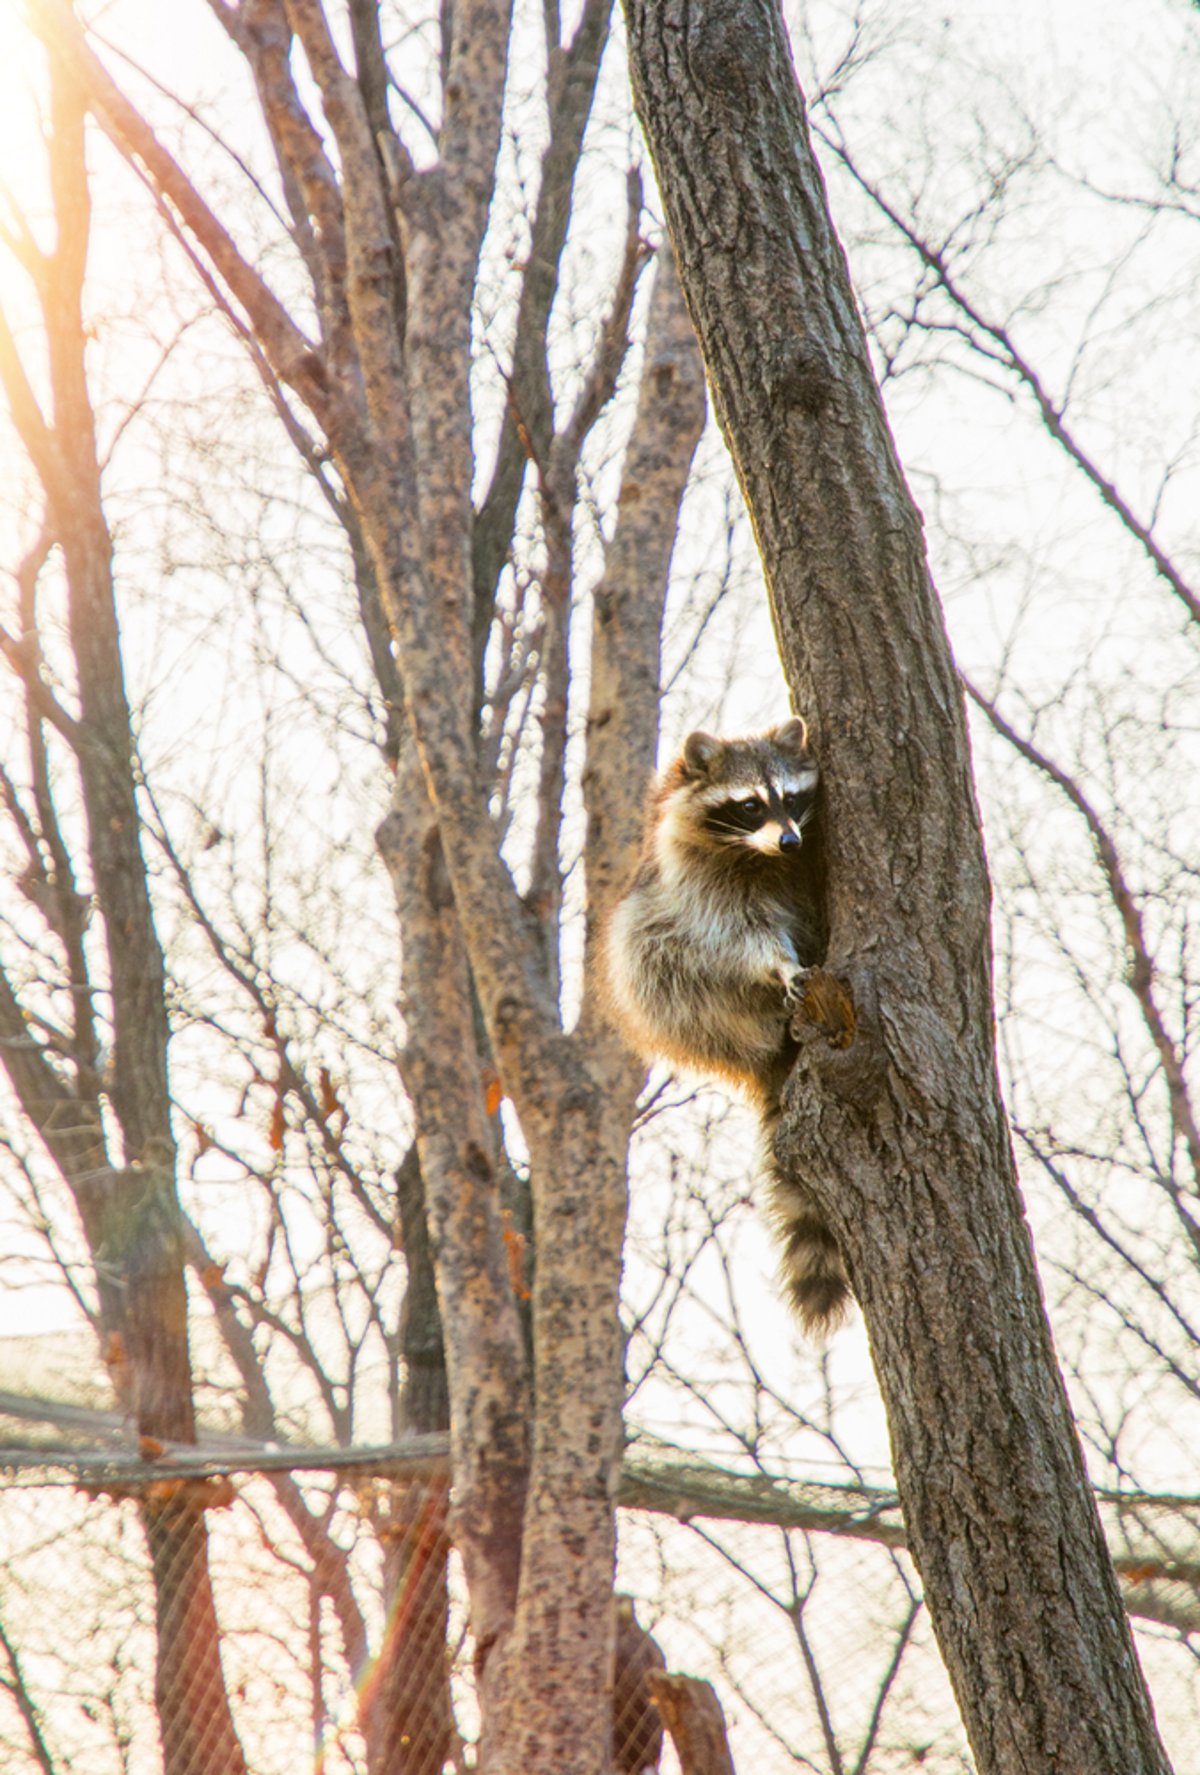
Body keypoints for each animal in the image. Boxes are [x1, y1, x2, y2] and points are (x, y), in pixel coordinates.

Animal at [603, 720, 848, 1334]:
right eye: (749, 805)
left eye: (791, 799)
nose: (790, 842)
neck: (760, 856)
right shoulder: (698, 882)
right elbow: (739, 936)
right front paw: (779, 963)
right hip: (667, 990)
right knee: (649, 950)